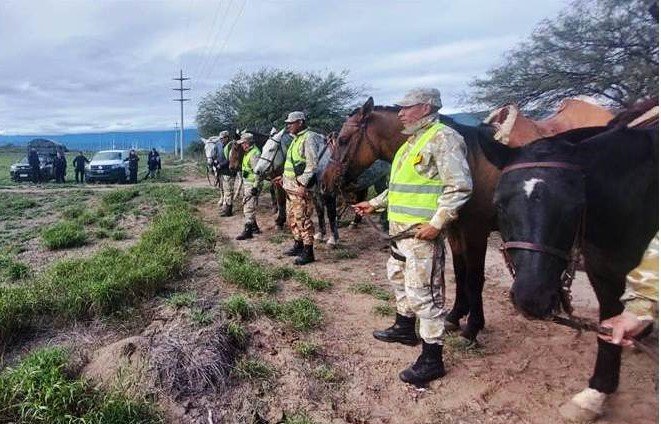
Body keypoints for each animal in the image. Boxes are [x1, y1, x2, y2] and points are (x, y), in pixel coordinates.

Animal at [322, 97, 616, 342]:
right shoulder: (454, 230)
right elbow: (461, 272)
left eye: (344, 139)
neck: (469, 160)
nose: (325, 181)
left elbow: (475, 278)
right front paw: (454, 317)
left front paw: (473, 327)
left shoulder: (476, 231)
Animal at [482, 105, 656, 420]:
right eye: (499, 204)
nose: (532, 299)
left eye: (576, 206)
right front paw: (595, 394)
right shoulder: (604, 274)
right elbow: (609, 326)